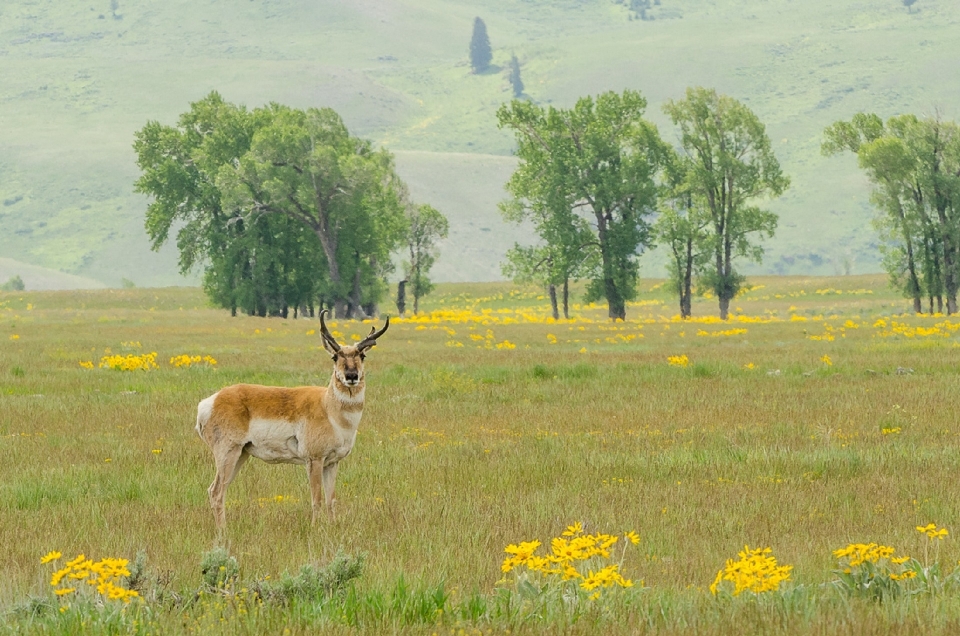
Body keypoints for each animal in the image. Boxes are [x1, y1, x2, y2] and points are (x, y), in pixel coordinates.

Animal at [195, 310, 390, 528]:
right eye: (335, 356)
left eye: (362, 355)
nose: (351, 376)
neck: (328, 407)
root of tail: (210, 402)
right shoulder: (314, 460)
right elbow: (316, 499)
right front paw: (315, 528)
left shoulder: (332, 462)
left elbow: (331, 500)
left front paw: (332, 527)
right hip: (228, 453)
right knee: (216, 491)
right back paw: (223, 532)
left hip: (241, 454)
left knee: (219, 490)